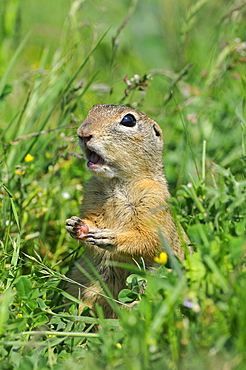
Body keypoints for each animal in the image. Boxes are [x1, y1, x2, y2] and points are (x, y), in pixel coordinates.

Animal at [65, 104, 190, 318]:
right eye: (92, 109)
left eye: (128, 120)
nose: (82, 133)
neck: (115, 183)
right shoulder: (91, 194)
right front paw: (76, 225)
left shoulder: (153, 200)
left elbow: (150, 238)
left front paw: (110, 237)